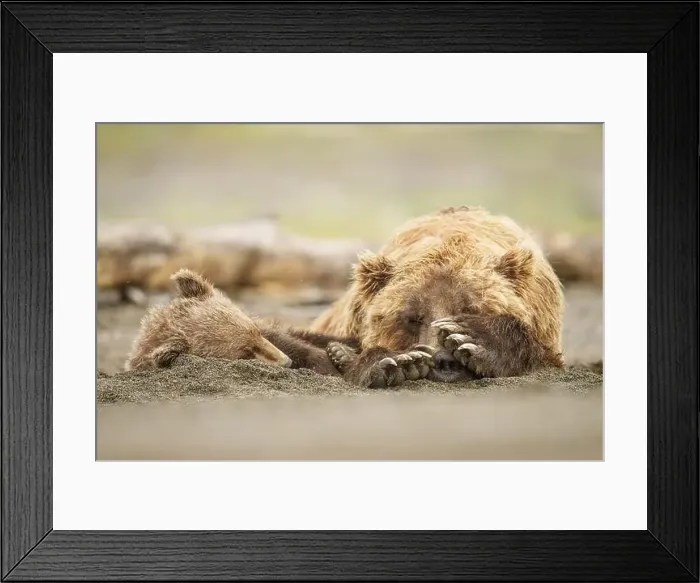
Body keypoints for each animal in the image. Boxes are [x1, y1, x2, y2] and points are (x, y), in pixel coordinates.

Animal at [124, 269, 358, 376]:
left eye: (255, 333)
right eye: (245, 353)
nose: (286, 362)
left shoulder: (271, 332)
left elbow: (298, 340)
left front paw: (336, 353)